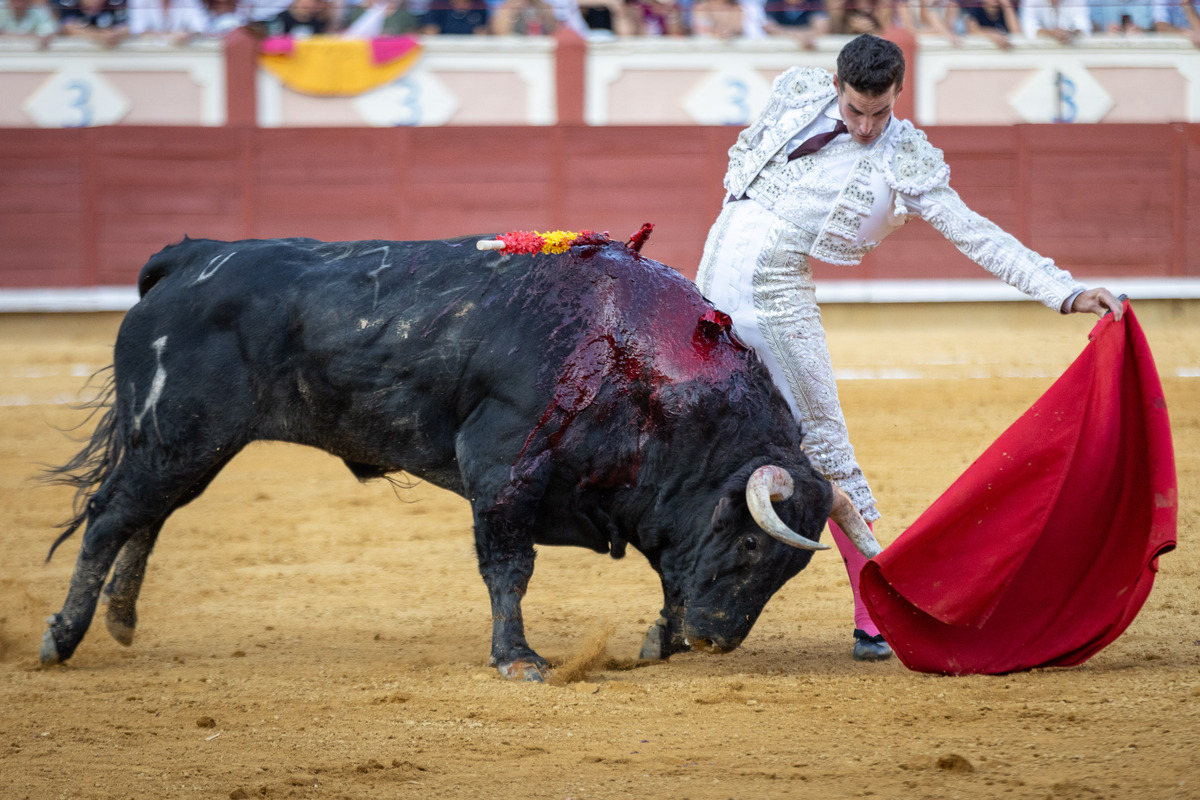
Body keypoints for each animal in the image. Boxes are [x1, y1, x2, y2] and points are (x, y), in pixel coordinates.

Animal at [44, 232, 854, 681]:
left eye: (789, 570)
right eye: (750, 545)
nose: (716, 641)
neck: (630, 355)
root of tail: (194, 257)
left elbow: (669, 571)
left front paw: (662, 640)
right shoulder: (502, 466)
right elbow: (509, 566)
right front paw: (518, 659)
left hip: (189, 445)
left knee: (147, 516)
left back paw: (120, 620)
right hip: (175, 433)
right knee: (111, 517)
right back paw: (62, 639)